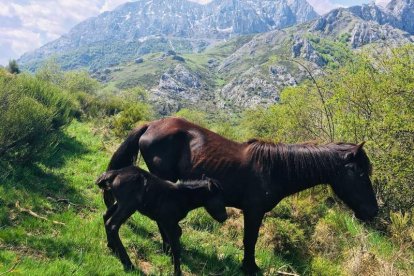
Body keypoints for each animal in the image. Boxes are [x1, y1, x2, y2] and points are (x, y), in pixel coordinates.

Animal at [96, 165, 228, 274]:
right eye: (219, 198)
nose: (224, 217)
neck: (182, 196)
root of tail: (115, 173)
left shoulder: (164, 220)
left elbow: (171, 238)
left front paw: (169, 257)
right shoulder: (169, 222)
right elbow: (175, 246)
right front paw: (177, 271)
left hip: (121, 203)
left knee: (105, 216)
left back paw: (112, 247)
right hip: (128, 205)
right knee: (112, 225)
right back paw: (128, 263)